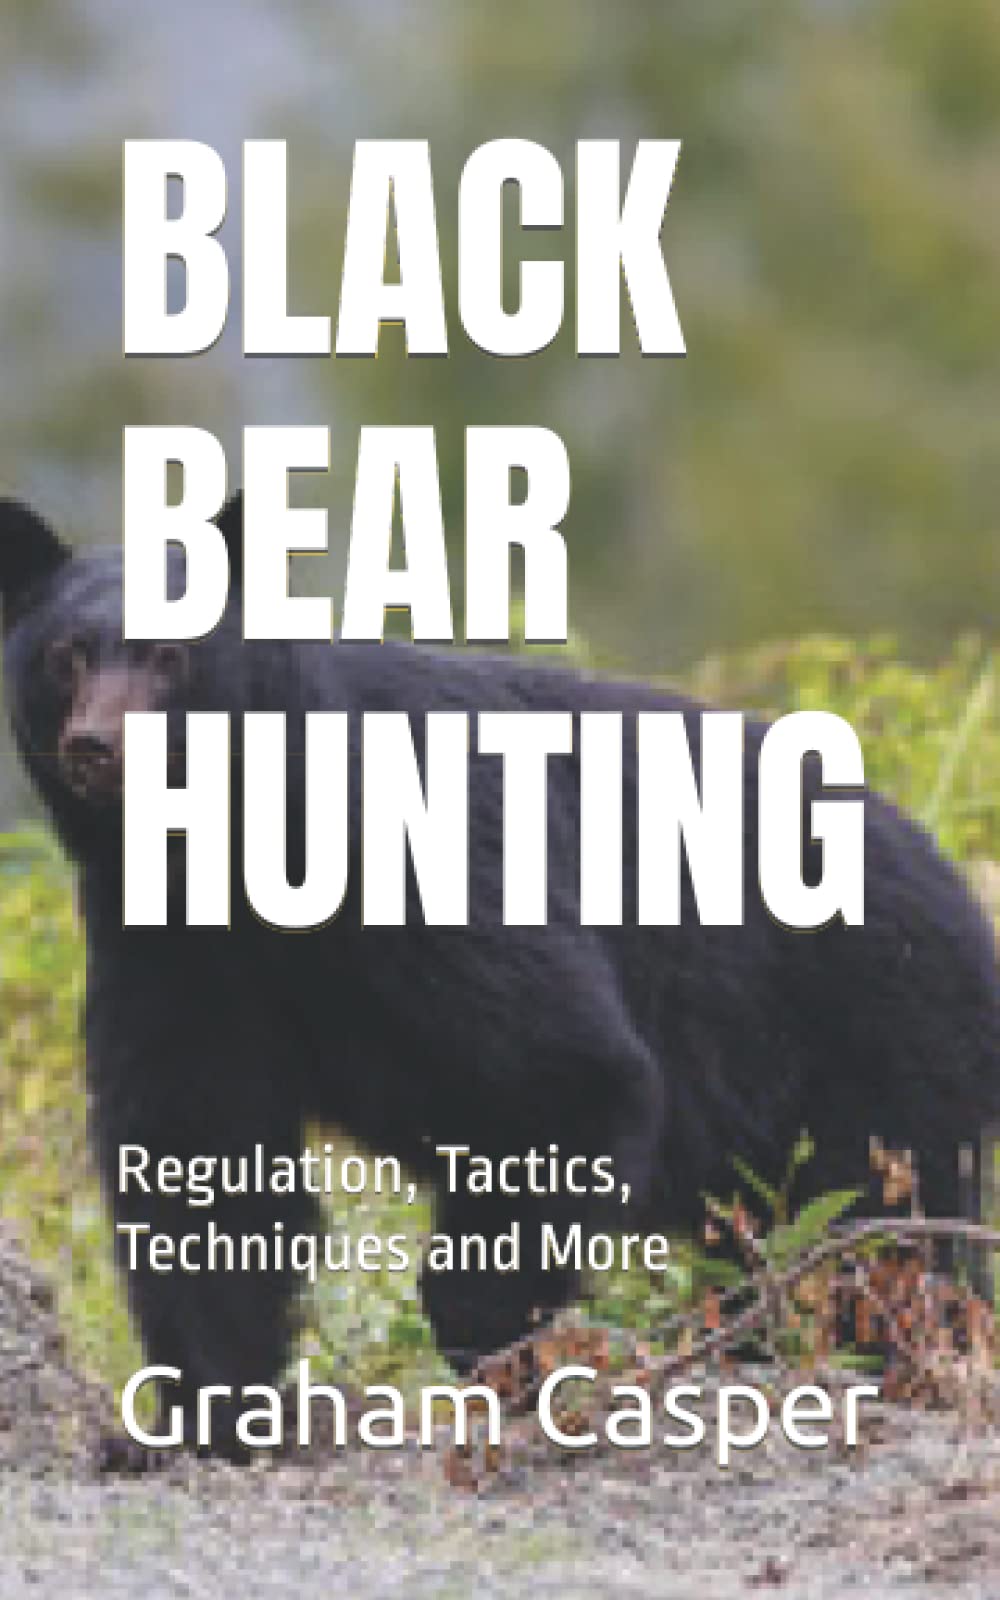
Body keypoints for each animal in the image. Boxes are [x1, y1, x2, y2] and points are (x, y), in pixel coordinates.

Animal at [1, 493, 998, 1456]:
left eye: (170, 655)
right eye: (65, 655)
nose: (96, 746)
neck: (243, 840)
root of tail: (958, 890)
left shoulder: (430, 856)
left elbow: (559, 1070)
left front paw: (494, 1344)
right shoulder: (174, 942)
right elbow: (197, 1147)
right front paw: (200, 1416)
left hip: (873, 1039)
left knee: (878, 1240)